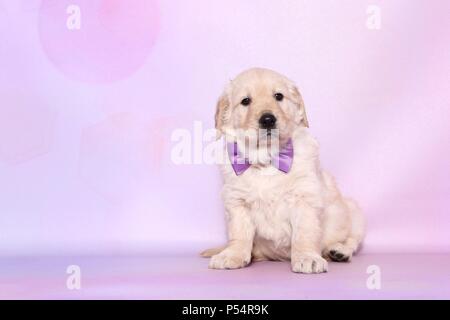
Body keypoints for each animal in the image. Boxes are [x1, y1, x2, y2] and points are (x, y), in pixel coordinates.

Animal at [202, 67, 364, 272]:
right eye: (245, 101)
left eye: (278, 96)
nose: (268, 120)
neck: (267, 160)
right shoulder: (237, 201)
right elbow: (239, 233)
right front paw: (233, 255)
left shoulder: (304, 197)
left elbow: (305, 232)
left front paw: (307, 257)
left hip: (354, 212)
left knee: (352, 239)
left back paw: (339, 251)